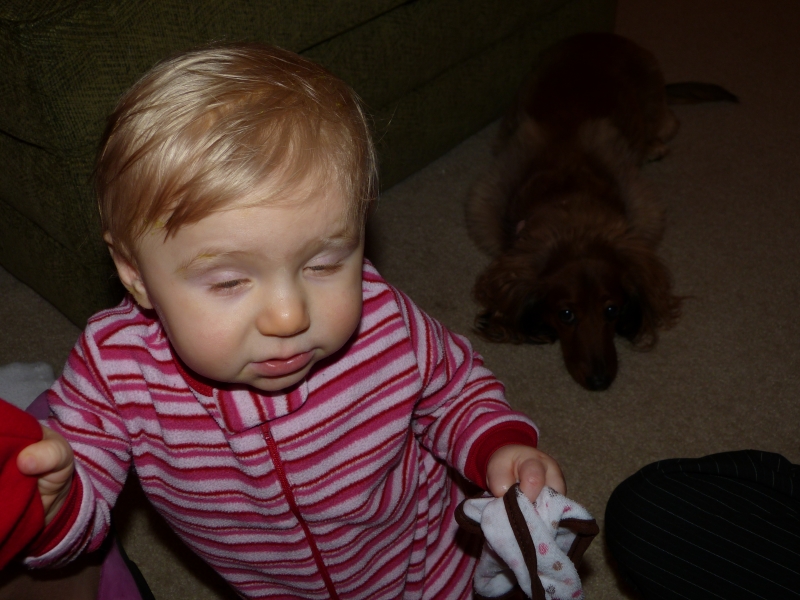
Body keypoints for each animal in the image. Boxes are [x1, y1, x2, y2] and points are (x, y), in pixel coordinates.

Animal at [466, 32, 736, 391]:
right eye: (566, 314)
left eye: (611, 310)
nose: (599, 381)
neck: (570, 204)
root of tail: (604, 36)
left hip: (656, 110)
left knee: (667, 124)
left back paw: (653, 146)